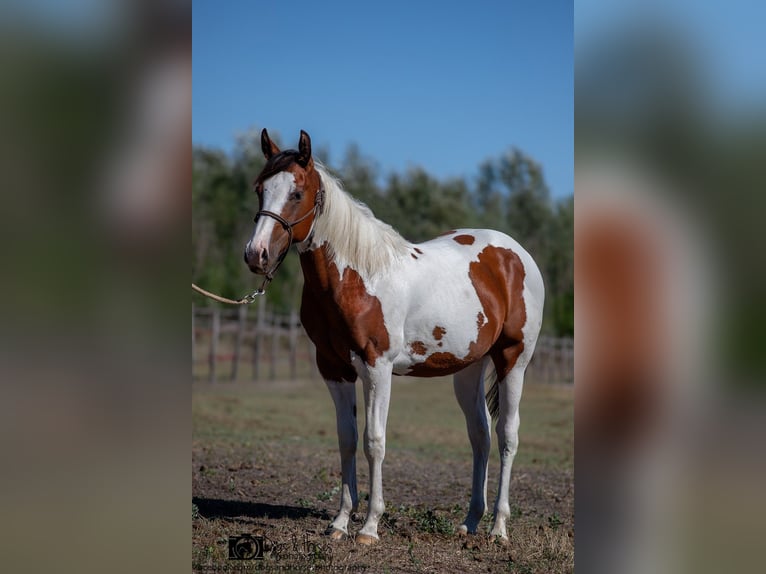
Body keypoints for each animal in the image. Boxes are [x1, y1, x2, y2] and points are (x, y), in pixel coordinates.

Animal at [244, 129, 545, 545]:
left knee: (507, 435)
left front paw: (370, 526)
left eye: (297, 193)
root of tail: (515, 255)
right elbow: (347, 439)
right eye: (260, 189)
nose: (255, 255)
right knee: (480, 435)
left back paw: (498, 528)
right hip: (468, 368)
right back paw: (470, 521)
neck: (357, 278)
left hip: (513, 359)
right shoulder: (333, 368)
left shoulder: (377, 367)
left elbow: (375, 441)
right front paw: (340, 522)